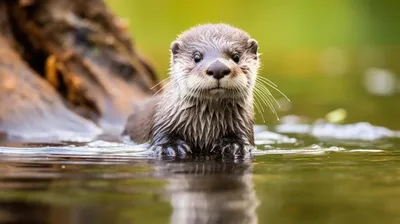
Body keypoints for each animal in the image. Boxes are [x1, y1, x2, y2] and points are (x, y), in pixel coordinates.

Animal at [122, 23, 260, 157]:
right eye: (197, 57)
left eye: (236, 56)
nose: (218, 68)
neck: (206, 129)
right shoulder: (162, 122)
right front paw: (171, 146)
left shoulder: (244, 126)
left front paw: (234, 145)